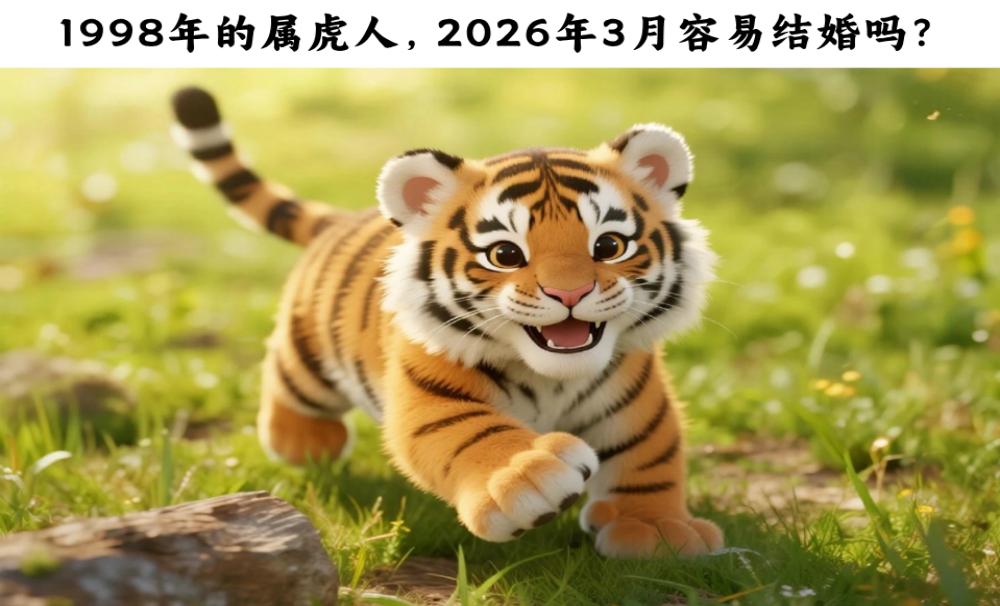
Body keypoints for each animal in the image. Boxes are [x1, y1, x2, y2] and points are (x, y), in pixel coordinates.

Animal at [170, 86, 723, 558]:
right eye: (505, 254)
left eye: (608, 246)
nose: (569, 293)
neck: (554, 377)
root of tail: (343, 219)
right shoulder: (434, 396)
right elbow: (473, 434)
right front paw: (527, 478)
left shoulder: (638, 400)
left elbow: (650, 456)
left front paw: (656, 531)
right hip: (308, 354)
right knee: (287, 380)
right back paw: (306, 442)